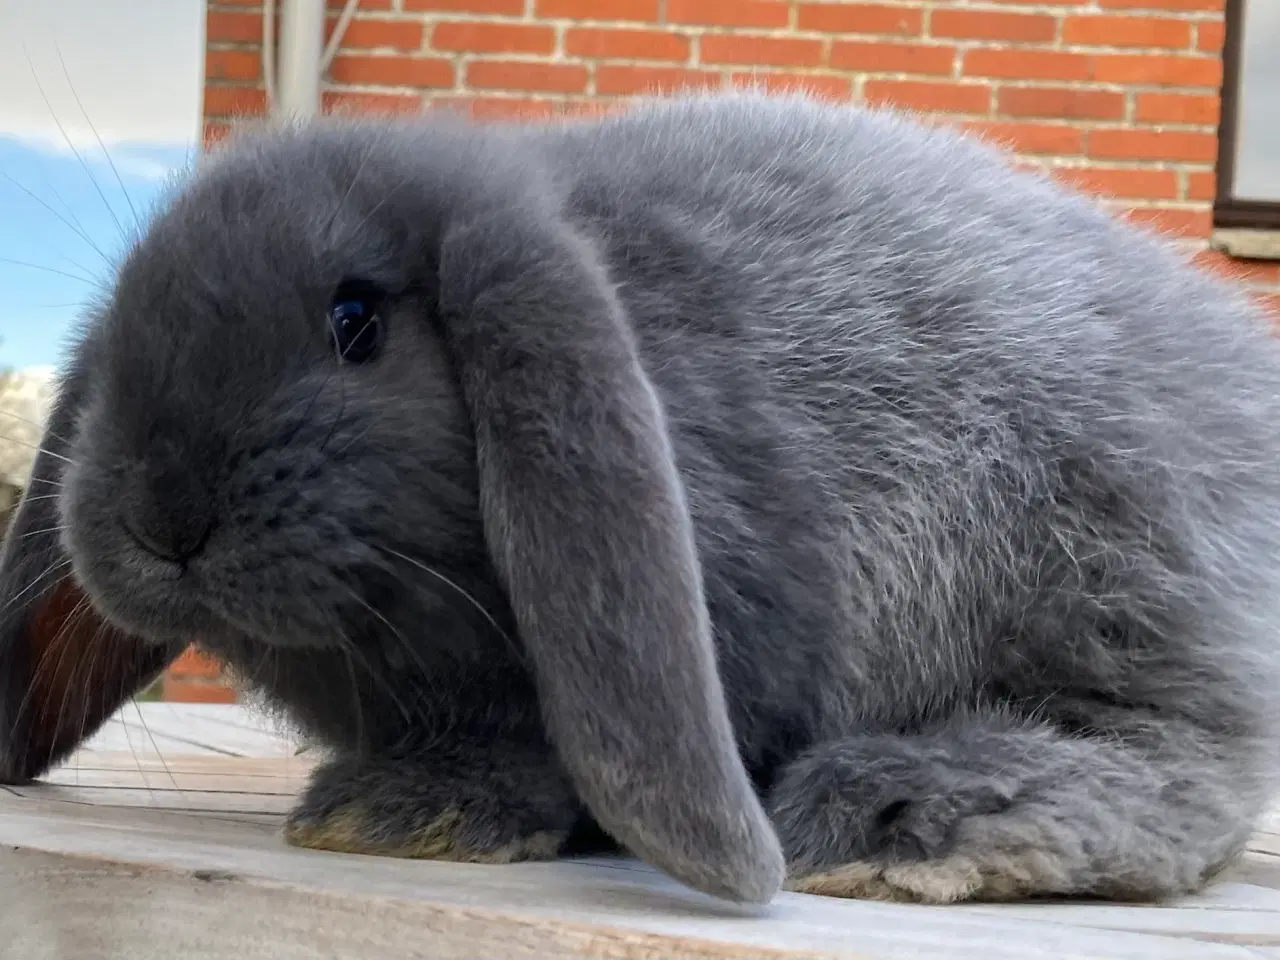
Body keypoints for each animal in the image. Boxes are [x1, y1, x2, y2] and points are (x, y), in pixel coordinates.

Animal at [2, 92, 1280, 911]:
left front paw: (407, 813)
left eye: (355, 320)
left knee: (1179, 767)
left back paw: (887, 817)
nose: (162, 523)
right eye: (123, 331)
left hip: (1110, 574)